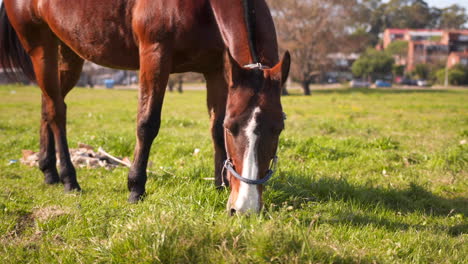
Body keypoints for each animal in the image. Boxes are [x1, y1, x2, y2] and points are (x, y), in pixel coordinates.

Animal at [0, 0, 288, 213]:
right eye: (233, 127)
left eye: (279, 128)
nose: (246, 207)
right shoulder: (155, 55)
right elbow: (147, 123)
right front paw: (135, 187)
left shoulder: (217, 70)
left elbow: (214, 129)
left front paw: (220, 185)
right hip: (41, 48)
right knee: (57, 112)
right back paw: (69, 178)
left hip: (68, 53)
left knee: (48, 105)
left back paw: (49, 171)